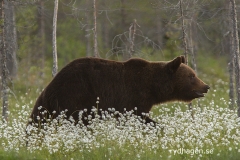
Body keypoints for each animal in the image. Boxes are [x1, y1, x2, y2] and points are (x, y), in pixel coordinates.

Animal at [27, 55, 208, 125]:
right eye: (192, 76)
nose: (206, 86)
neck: (152, 87)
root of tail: (50, 85)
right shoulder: (133, 97)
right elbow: (137, 117)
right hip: (74, 95)